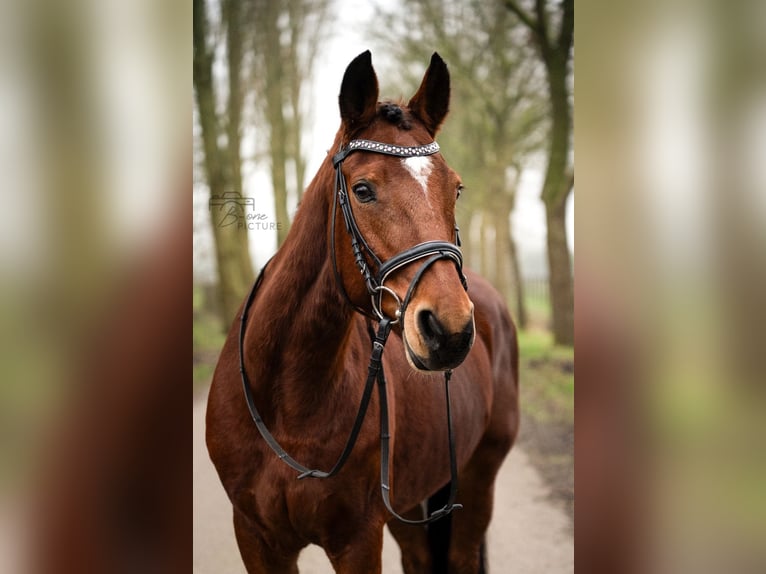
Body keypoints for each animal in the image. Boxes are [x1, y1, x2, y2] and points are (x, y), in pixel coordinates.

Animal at [206, 51, 520, 572]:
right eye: (363, 189)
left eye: (455, 189)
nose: (450, 330)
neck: (287, 399)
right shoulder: (254, 536)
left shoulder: (357, 539)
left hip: (479, 478)